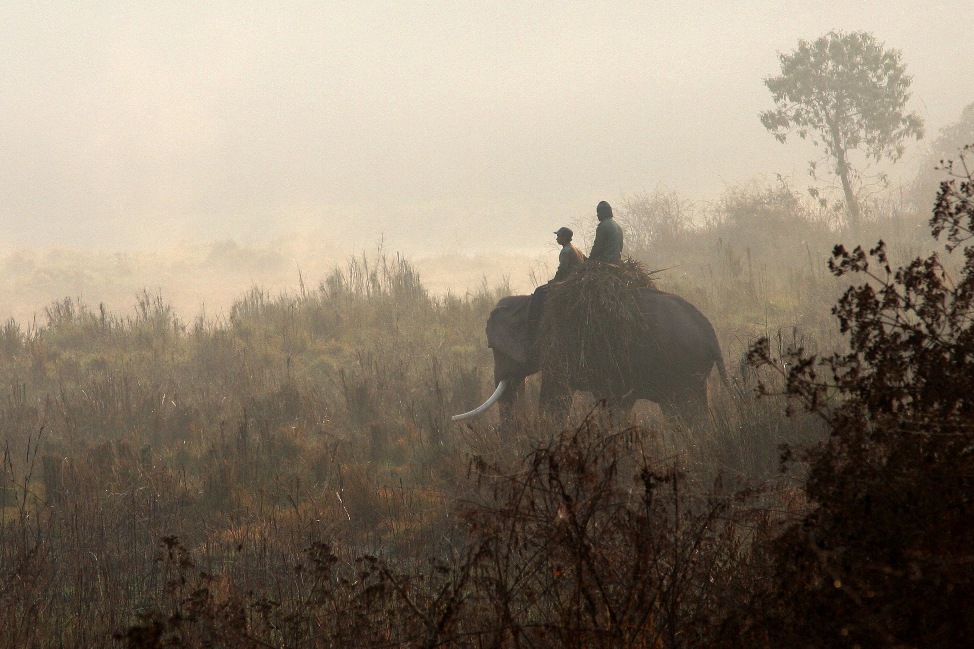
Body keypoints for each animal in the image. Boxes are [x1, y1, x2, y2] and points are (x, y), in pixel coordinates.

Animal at [454, 288, 728, 426]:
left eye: (493, 347)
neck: (529, 300)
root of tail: (711, 334)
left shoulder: (560, 344)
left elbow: (555, 398)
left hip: (684, 366)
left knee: (685, 410)